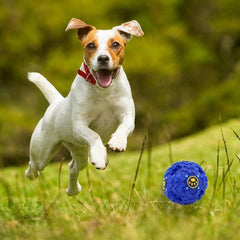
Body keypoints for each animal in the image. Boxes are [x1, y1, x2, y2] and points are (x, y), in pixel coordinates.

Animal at [25, 18, 143, 195]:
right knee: (33, 167)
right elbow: (94, 135)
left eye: (116, 44)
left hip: (80, 151)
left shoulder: (128, 116)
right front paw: (100, 155)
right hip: (42, 152)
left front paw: (117, 142)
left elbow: (124, 126)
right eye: (91, 45)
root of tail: (55, 103)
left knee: (73, 167)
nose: (103, 58)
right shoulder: (79, 126)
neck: (103, 91)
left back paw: (73, 190)